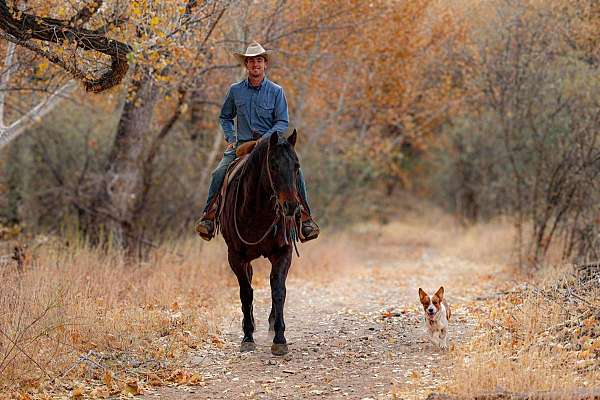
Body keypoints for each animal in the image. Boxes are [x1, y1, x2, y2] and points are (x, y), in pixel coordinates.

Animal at [219, 130, 300, 354]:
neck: (258, 212)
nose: (291, 206)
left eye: (296, 166)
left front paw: (280, 339)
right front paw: (247, 337)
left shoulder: (283, 252)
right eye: (273, 165)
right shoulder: (236, 256)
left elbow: (278, 290)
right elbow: (246, 293)